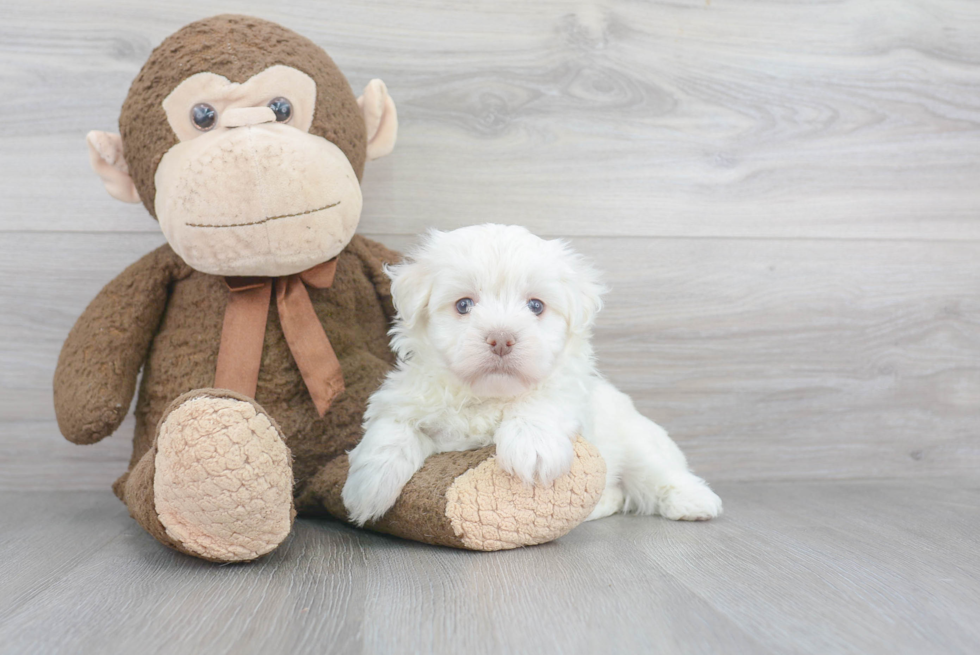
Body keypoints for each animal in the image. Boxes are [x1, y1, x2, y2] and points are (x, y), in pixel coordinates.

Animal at [342, 226, 720, 528]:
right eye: (464, 305)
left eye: (536, 306)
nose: (501, 339)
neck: (488, 394)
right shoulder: (404, 400)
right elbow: (392, 431)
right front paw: (367, 486)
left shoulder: (569, 391)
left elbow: (542, 399)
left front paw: (532, 447)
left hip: (637, 441)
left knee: (658, 473)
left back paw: (694, 501)